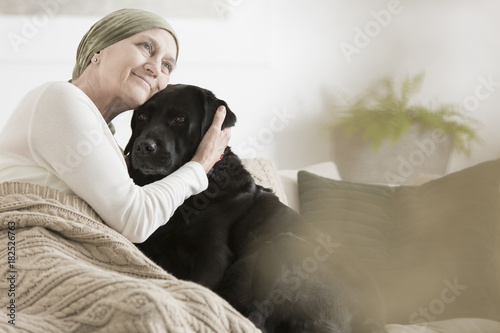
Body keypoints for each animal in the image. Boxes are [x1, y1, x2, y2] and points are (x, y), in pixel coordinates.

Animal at [124, 84, 386, 330]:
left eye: (179, 119)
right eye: (142, 117)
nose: (143, 147)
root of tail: (373, 319)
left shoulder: (214, 256)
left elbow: (199, 286)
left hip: (282, 246)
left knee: (256, 320)